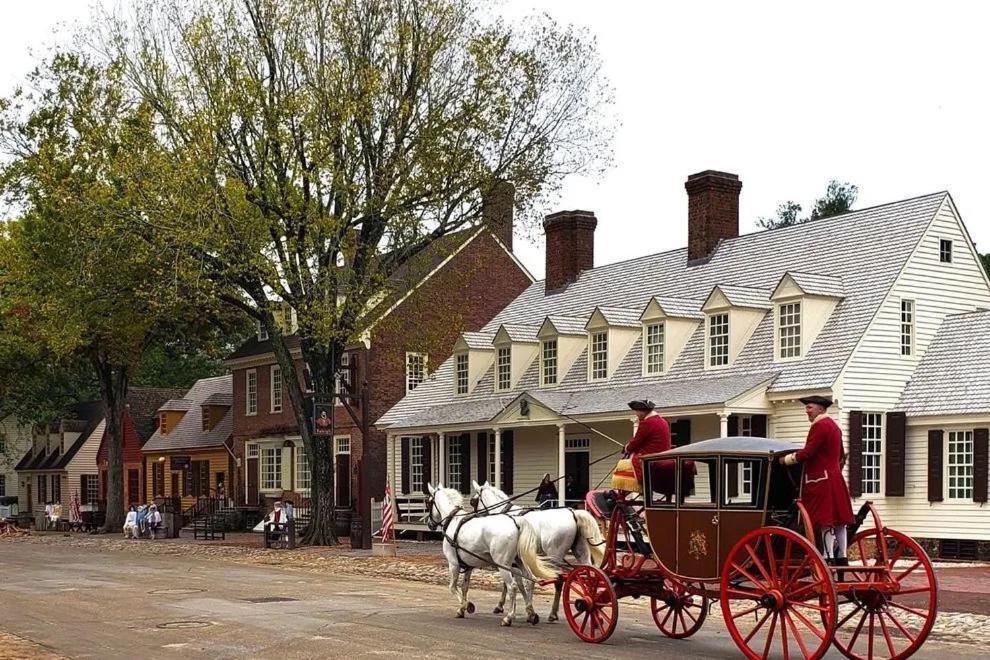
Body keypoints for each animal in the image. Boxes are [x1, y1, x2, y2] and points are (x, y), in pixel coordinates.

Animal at [424, 482, 560, 628]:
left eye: (428, 502)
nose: (430, 524)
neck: (454, 520)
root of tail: (516, 522)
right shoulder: (468, 566)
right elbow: (464, 587)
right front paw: (461, 609)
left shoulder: (453, 563)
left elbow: (453, 587)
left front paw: (467, 606)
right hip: (519, 562)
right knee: (529, 580)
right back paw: (531, 613)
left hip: (503, 564)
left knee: (512, 587)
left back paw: (509, 617)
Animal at [470, 480, 608, 624]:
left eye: (473, 501)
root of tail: (573, 514)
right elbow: (524, 582)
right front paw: (525, 610)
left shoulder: (508, 559)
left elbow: (514, 583)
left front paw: (503, 607)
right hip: (581, 552)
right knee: (591, 576)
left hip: (554, 556)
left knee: (559, 581)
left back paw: (553, 613)